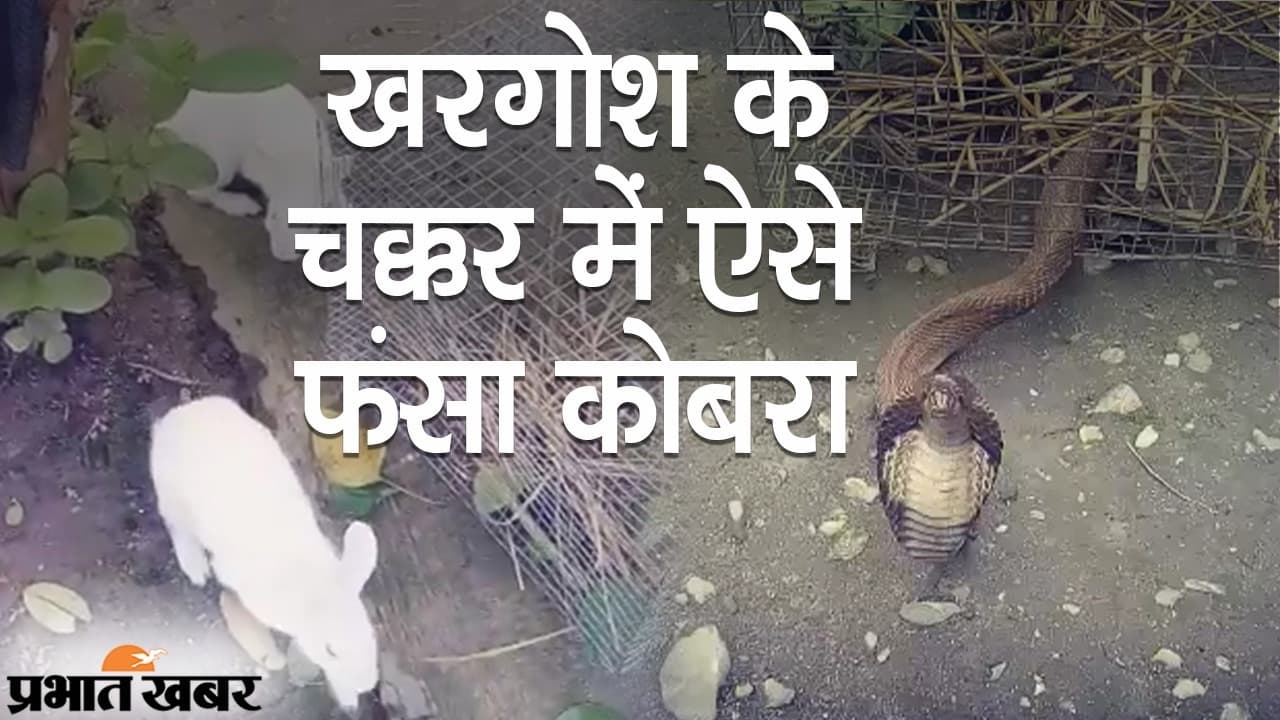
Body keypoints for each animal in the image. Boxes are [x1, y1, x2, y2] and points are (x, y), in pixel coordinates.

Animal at [148, 394, 379, 711]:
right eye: (331, 650)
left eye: (371, 636)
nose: (366, 685)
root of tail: (176, 418)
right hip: (173, 497)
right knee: (178, 527)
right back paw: (196, 568)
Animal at [156, 83, 345, 262]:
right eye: (274, 216)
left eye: (310, 224)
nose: (284, 256)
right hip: (217, 160)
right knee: (199, 192)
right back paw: (243, 205)